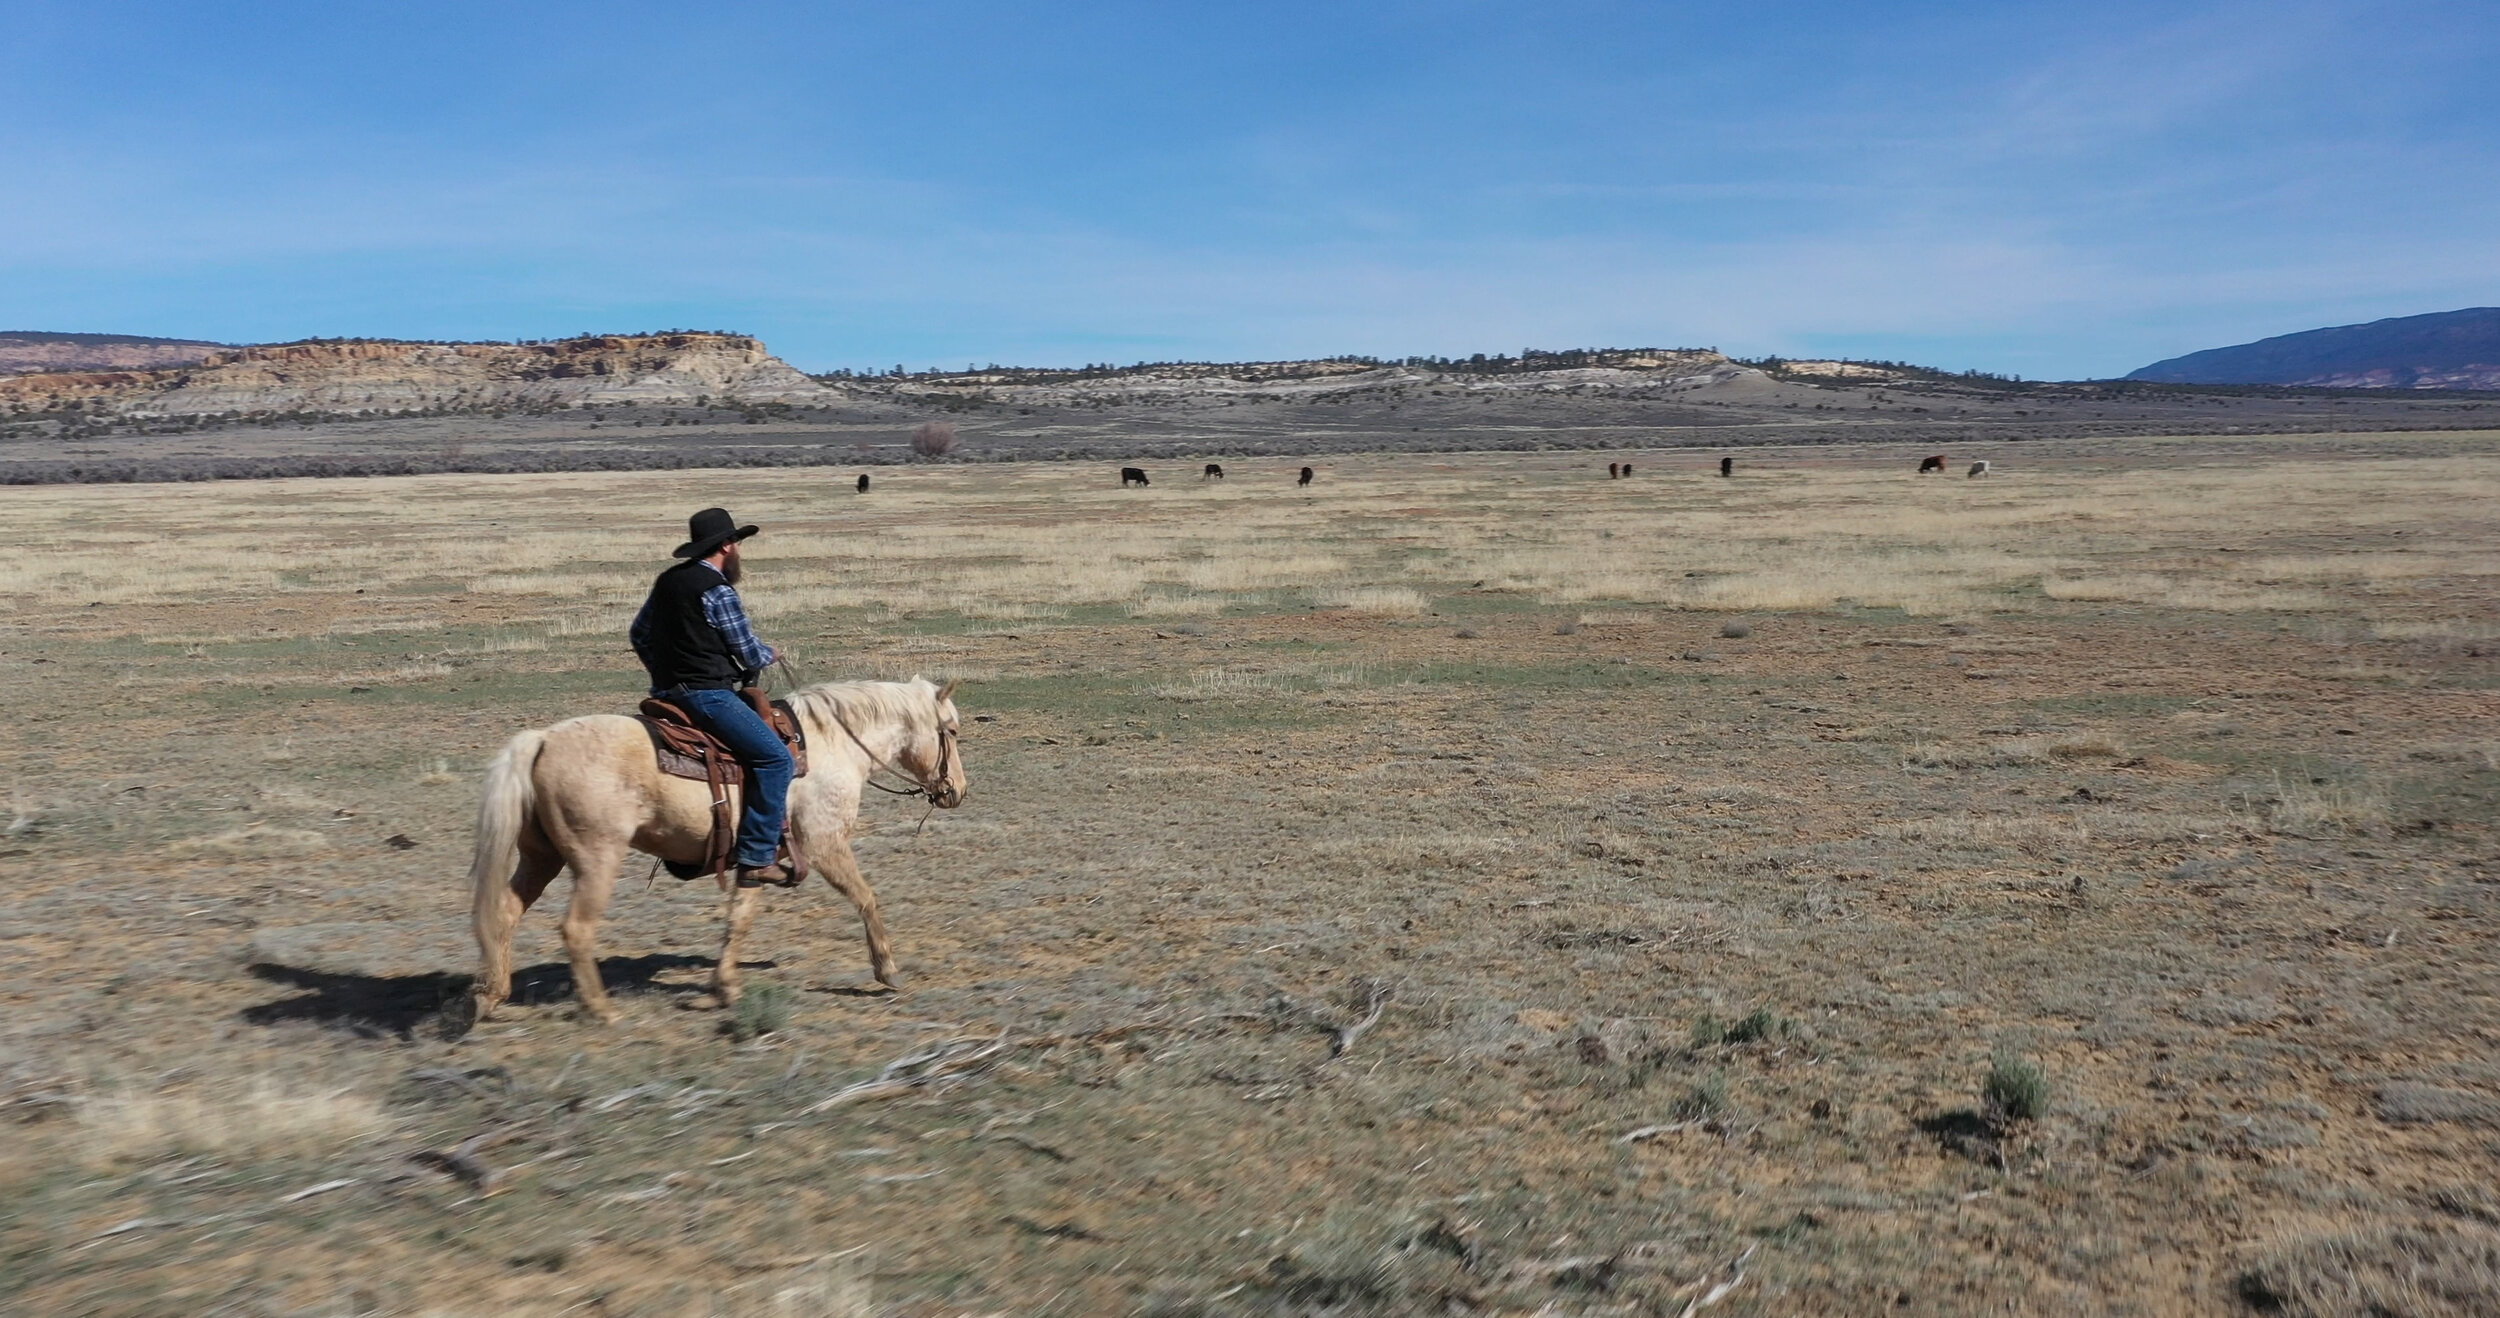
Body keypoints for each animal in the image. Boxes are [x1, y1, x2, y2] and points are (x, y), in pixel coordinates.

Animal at [455, 680, 960, 1030]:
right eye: (952, 731)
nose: (957, 790)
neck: (830, 745)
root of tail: (542, 739)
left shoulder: (756, 858)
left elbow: (739, 919)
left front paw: (724, 987)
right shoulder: (824, 843)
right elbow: (866, 898)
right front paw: (887, 970)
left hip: (541, 858)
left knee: (504, 912)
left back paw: (490, 995)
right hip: (597, 859)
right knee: (576, 928)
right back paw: (600, 1009)